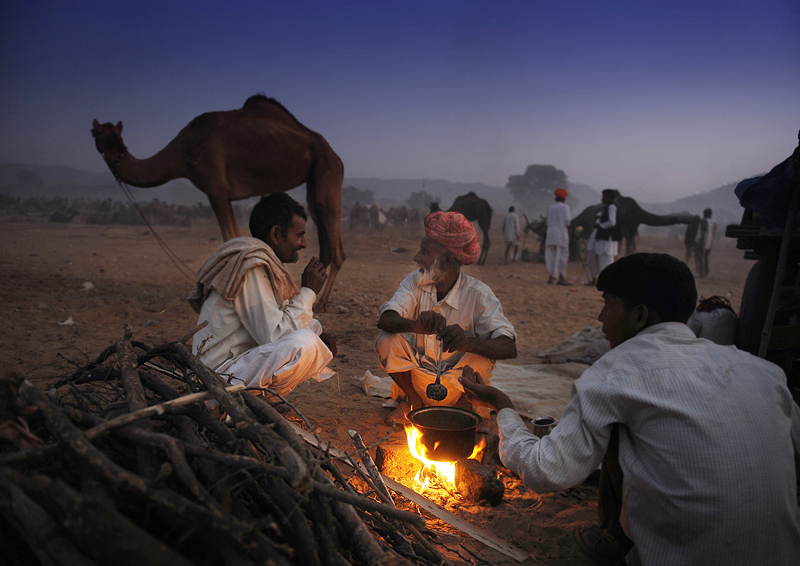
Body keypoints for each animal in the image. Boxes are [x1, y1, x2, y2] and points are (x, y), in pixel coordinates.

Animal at [92, 95, 346, 312]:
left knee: (329, 223)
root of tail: (337, 155)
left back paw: (321, 304)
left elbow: (230, 237)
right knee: (320, 222)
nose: (112, 154)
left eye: (96, 133)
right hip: (315, 175)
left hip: (327, 166)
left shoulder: (215, 188)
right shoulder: (222, 194)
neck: (183, 150)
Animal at [568, 191, 700, 262]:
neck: (635, 212)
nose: (696, 218)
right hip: (587, 226)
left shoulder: (631, 228)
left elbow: (630, 246)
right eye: (696, 223)